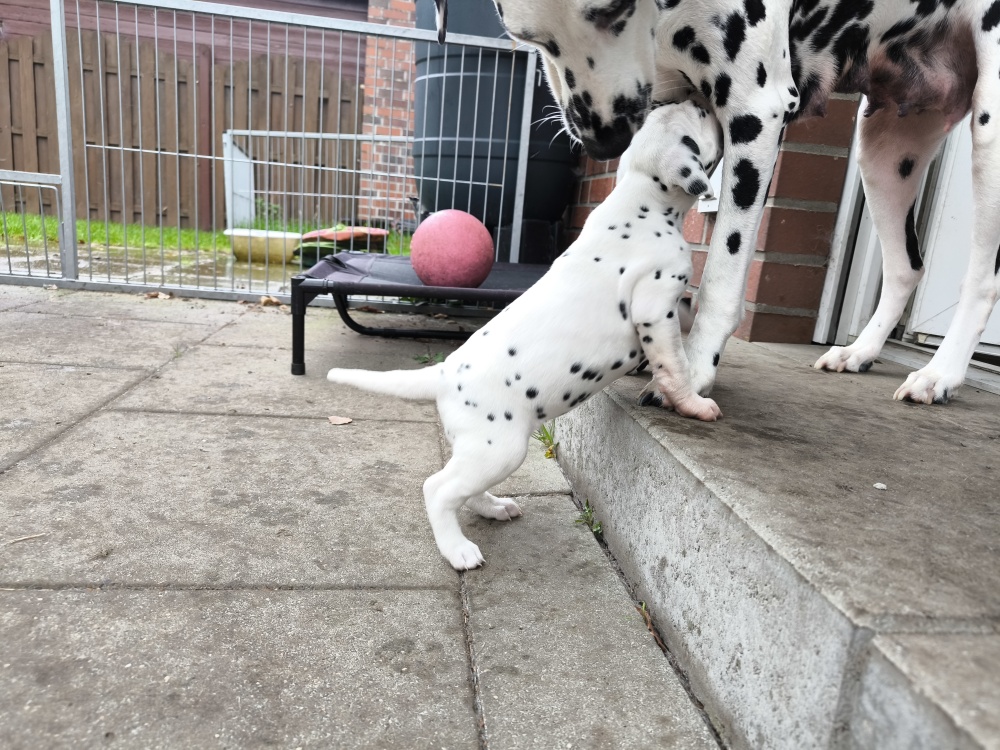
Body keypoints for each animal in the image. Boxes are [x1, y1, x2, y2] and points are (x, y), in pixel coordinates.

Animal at [327, 102, 722, 570]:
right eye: (698, 120)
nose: (711, 105)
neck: (638, 203)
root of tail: (442, 373)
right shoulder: (656, 310)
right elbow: (676, 366)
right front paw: (694, 404)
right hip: (500, 448)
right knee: (437, 489)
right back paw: (458, 549)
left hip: (478, 450)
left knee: (465, 490)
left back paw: (495, 507)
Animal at [435, 0, 1000, 406]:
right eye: (529, 38)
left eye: (612, 10)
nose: (603, 141)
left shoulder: (756, 110)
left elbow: (724, 277)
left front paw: (697, 367)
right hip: (885, 152)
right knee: (906, 267)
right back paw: (860, 351)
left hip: (989, 139)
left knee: (982, 278)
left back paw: (940, 374)